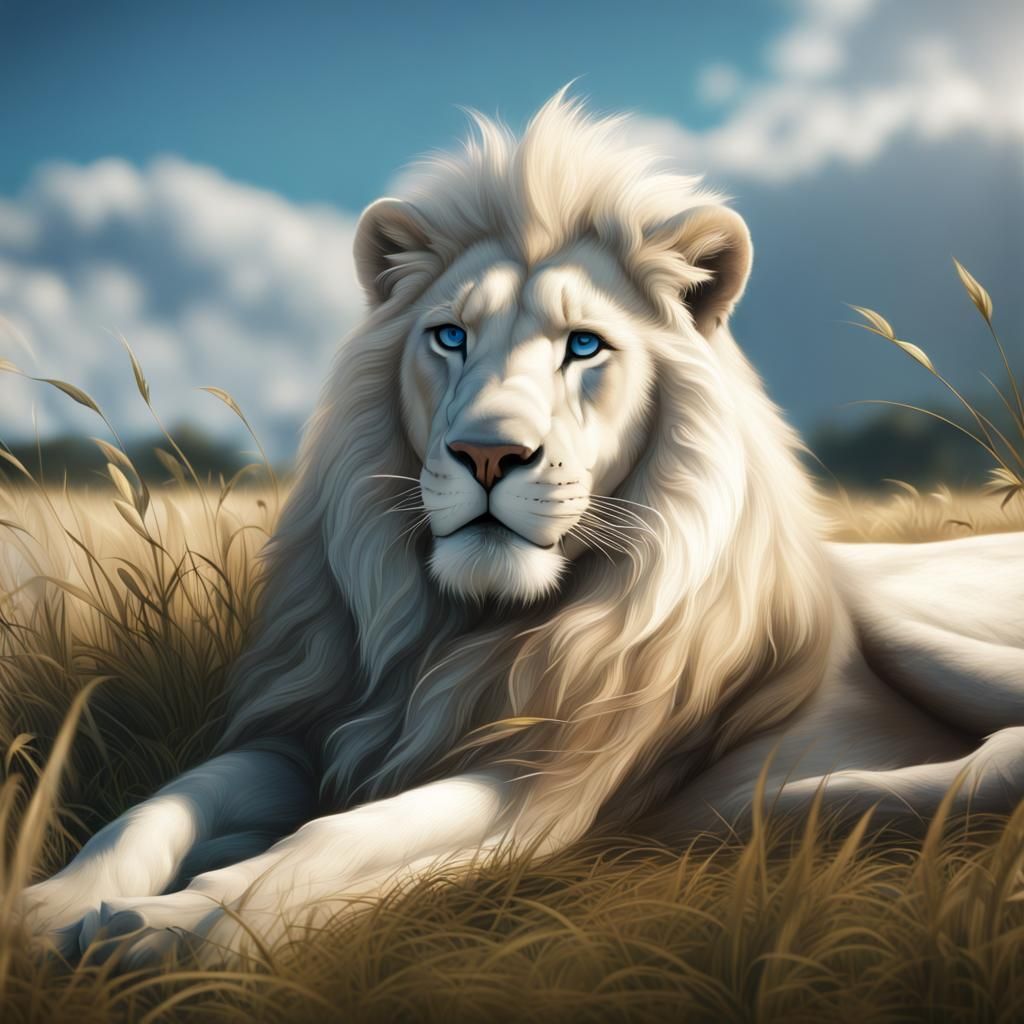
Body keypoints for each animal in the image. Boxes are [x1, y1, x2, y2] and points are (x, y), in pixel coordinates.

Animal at [23, 91, 1024, 964]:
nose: (487, 452)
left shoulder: (545, 777)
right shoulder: (306, 734)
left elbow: (339, 837)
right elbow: (162, 804)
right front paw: (49, 904)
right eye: (450, 337)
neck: (464, 625)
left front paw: (179, 925)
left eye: (584, 345)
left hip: (904, 616)